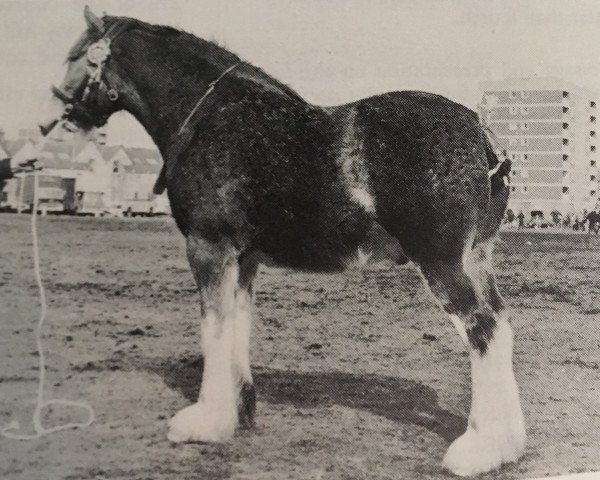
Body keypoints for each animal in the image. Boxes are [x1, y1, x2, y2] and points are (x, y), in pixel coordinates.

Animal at [38, 7, 524, 476]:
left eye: (75, 57)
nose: (49, 120)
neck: (210, 118)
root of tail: (480, 132)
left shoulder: (208, 248)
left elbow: (214, 329)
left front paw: (204, 422)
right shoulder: (244, 260)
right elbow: (237, 325)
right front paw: (239, 412)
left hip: (442, 263)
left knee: (482, 329)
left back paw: (476, 450)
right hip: (476, 258)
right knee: (500, 325)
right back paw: (508, 445)